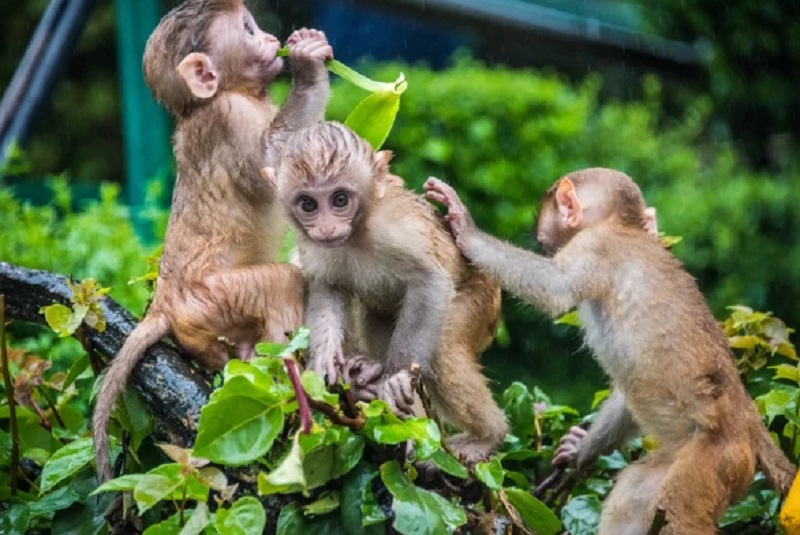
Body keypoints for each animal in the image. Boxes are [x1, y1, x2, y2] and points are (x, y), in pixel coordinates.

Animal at [91, 0, 334, 486]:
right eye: (248, 30)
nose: (270, 38)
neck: (229, 95)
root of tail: (164, 304)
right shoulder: (228, 121)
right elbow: (271, 163)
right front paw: (307, 64)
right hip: (214, 300)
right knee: (282, 282)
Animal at [264, 122, 512, 464]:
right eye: (309, 204)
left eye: (340, 199)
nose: (327, 229)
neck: (357, 233)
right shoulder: (311, 245)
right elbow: (328, 287)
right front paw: (325, 357)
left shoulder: (393, 230)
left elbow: (430, 282)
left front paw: (395, 378)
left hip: (482, 302)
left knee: (441, 348)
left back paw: (487, 436)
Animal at [424, 171, 792, 535]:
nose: (543, 241)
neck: (623, 227)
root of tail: (747, 421)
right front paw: (581, 450)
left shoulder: (595, 245)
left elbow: (556, 288)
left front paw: (465, 227)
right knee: (635, 492)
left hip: (716, 459)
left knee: (678, 511)